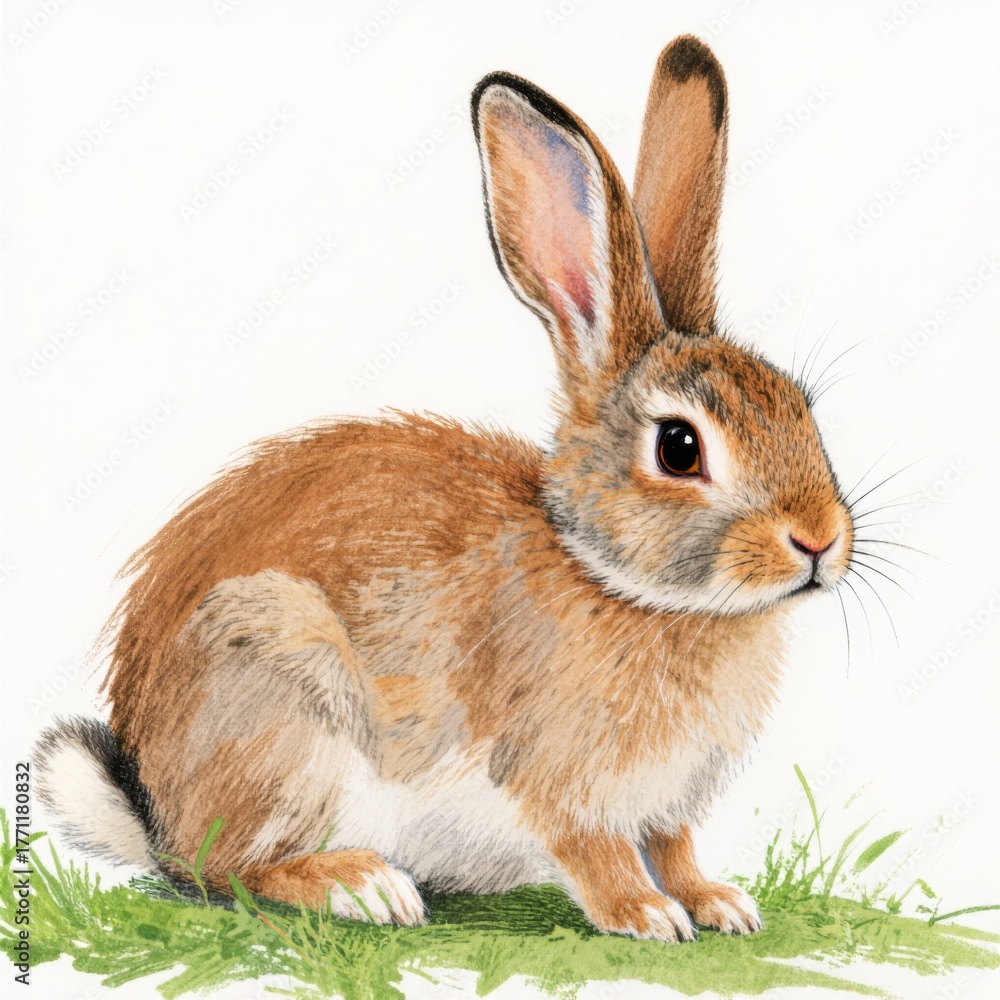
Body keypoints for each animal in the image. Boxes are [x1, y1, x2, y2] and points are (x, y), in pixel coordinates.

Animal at [36, 35, 854, 942]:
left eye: (802, 407)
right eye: (680, 448)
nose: (819, 539)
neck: (618, 581)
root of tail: (151, 808)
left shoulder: (666, 804)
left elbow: (674, 846)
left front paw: (718, 904)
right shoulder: (556, 781)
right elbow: (594, 852)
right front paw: (645, 915)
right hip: (281, 692)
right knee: (227, 870)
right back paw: (363, 886)